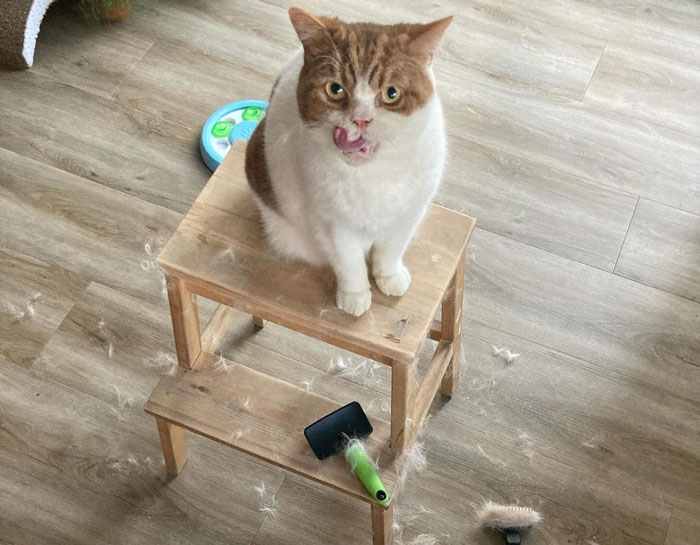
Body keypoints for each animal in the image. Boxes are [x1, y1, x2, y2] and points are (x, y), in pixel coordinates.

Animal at [246, 5, 454, 314]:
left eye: (391, 94)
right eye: (335, 89)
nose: (361, 119)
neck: (375, 175)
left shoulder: (411, 211)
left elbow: (392, 247)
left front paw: (389, 275)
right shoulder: (331, 223)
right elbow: (348, 261)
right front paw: (355, 294)